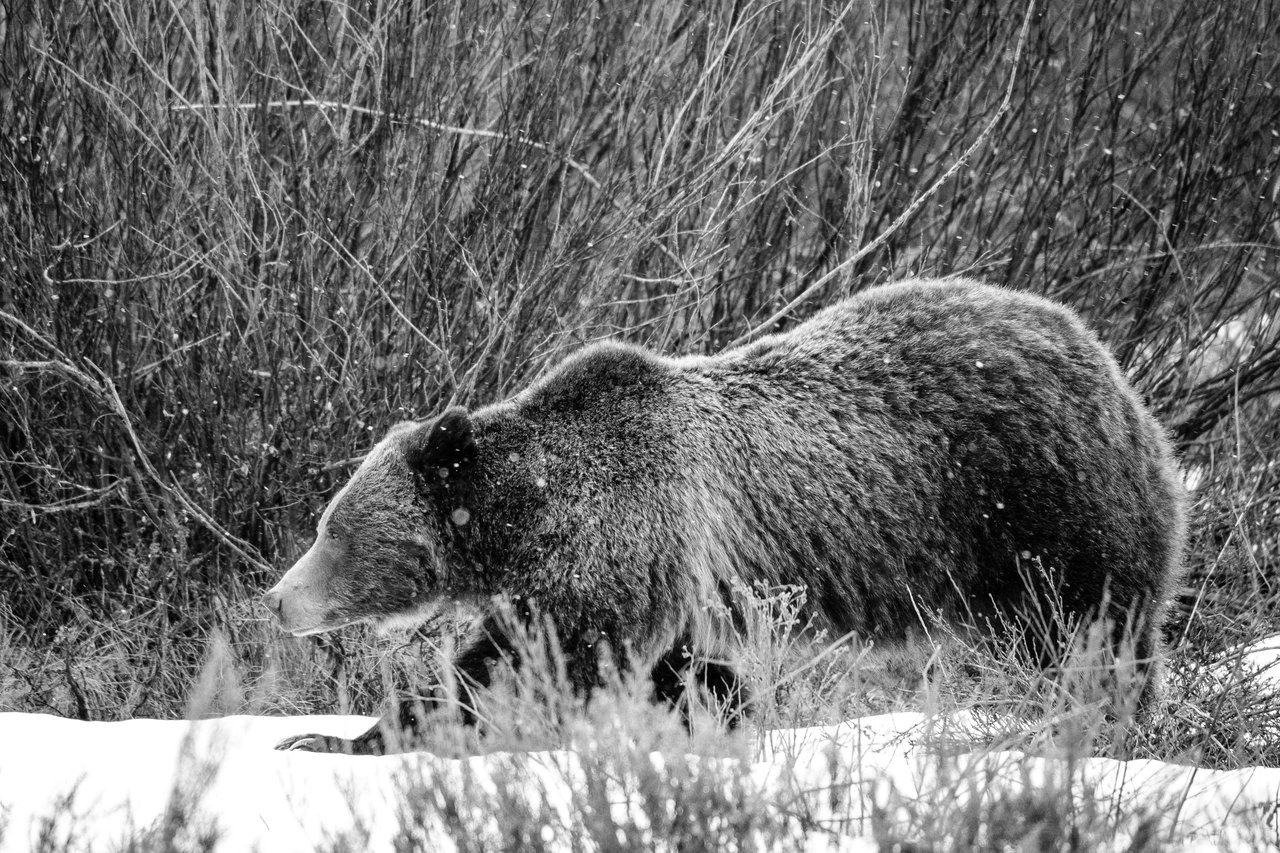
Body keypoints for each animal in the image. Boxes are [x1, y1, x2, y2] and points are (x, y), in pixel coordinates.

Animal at [262, 277, 1187, 754]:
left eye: (332, 528)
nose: (277, 597)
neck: (531, 516)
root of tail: (1111, 366)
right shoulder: (670, 572)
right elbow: (680, 667)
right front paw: (724, 716)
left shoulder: (625, 531)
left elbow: (528, 662)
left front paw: (340, 738)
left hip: (1038, 504)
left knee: (1086, 625)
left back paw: (1075, 726)